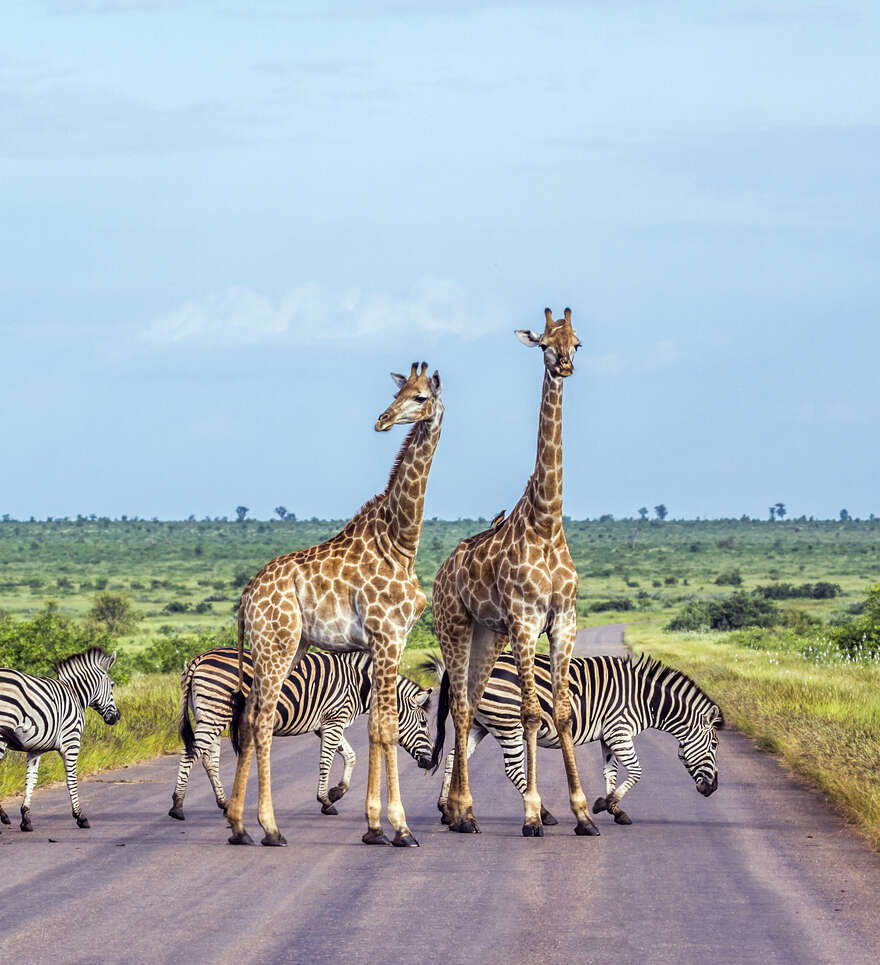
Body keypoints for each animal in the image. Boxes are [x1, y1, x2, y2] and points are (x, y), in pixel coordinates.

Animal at [0, 644, 120, 832]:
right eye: (112, 685)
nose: (117, 717)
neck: (76, 694)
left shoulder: (35, 748)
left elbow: (31, 780)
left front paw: (26, 819)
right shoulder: (72, 742)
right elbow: (72, 779)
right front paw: (80, 817)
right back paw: (3, 816)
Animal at [168, 648, 434, 820]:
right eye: (423, 724)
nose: (431, 763)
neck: (359, 686)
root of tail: (199, 658)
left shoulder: (325, 725)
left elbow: (350, 756)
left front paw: (336, 792)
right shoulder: (334, 721)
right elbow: (326, 761)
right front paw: (325, 800)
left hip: (210, 713)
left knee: (208, 759)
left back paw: (224, 803)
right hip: (215, 711)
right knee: (191, 754)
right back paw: (177, 806)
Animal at [223, 362, 444, 844]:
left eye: (419, 397)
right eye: (399, 393)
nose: (382, 420)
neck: (401, 543)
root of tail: (246, 598)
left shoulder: (383, 643)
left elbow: (376, 728)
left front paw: (374, 826)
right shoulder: (390, 636)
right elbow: (386, 726)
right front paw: (399, 827)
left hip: (288, 646)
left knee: (248, 717)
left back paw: (238, 825)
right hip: (277, 644)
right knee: (261, 719)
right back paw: (270, 827)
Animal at [430, 652, 724, 824]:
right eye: (715, 745)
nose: (713, 789)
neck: (645, 699)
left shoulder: (609, 735)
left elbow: (610, 772)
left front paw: (615, 809)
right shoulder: (619, 730)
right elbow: (636, 771)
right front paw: (605, 804)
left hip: (480, 723)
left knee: (454, 757)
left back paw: (445, 809)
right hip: (507, 722)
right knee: (513, 769)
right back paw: (544, 814)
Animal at [432, 308, 600, 836]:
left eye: (578, 341)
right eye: (545, 342)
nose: (564, 365)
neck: (546, 522)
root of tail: (441, 572)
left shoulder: (563, 620)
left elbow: (561, 713)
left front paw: (583, 812)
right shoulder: (526, 621)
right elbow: (529, 712)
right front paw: (532, 814)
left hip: (490, 634)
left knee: (470, 704)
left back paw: (461, 811)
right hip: (455, 626)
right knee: (461, 707)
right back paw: (463, 811)